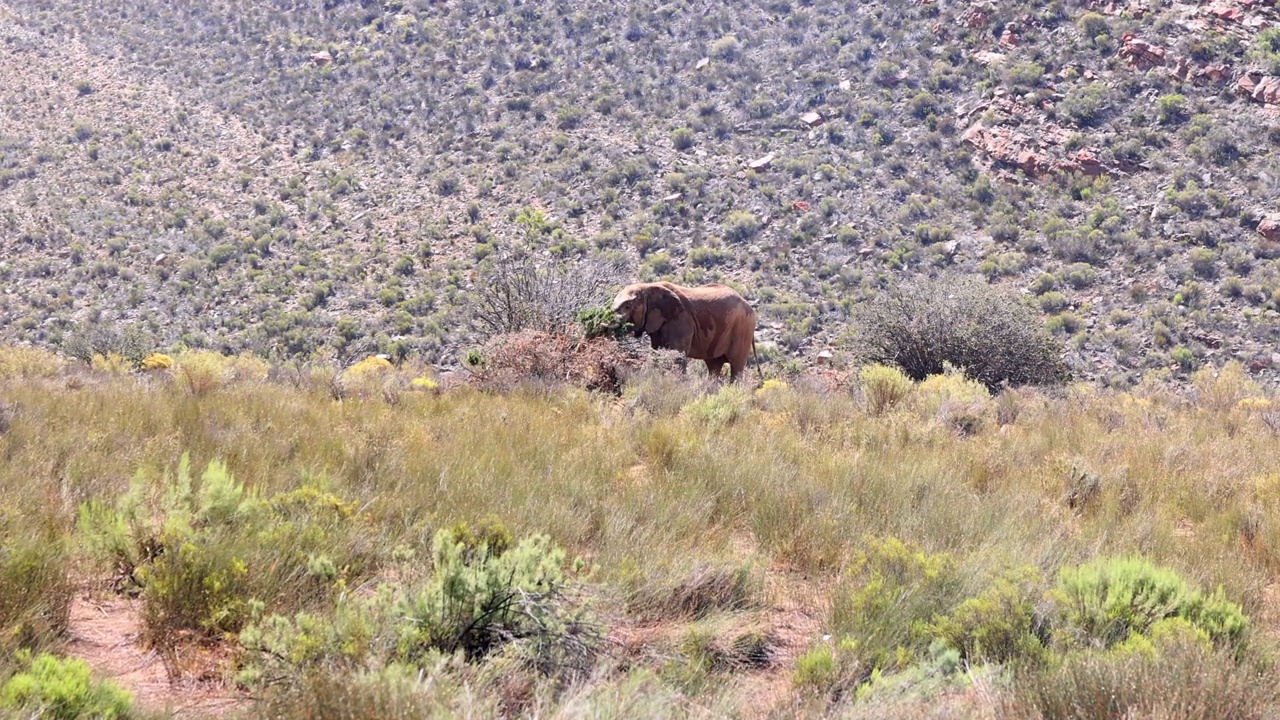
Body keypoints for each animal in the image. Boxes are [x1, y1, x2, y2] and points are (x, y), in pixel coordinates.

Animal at [609, 279, 757, 381]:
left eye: (628, 306)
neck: (648, 286)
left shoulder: (681, 320)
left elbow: (677, 355)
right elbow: (656, 351)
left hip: (743, 327)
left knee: (736, 365)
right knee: (714, 365)